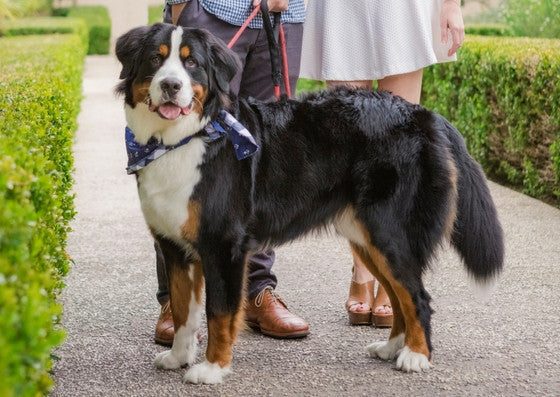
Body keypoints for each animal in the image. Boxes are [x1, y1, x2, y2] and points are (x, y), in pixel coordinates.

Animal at [114, 23, 504, 382]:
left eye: (191, 62)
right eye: (155, 59)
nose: (170, 85)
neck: (179, 140)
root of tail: (425, 115)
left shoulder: (223, 245)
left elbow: (218, 312)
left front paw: (212, 368)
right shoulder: (175, 246)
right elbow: (183, 309)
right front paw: (178, 356)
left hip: (391, 232)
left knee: (416, 297)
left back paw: (415, 356)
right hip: (368, 238)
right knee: (398, 296)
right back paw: (392, 347)